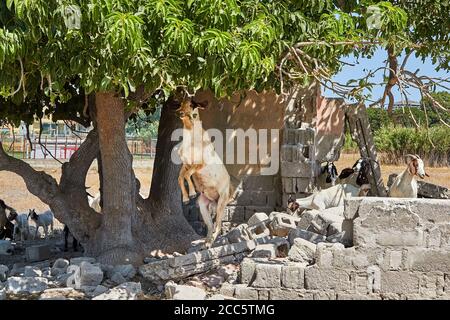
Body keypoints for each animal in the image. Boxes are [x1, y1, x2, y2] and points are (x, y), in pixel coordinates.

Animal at [177, 100, 239, 248]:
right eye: (181, 103)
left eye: (192, 105)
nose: (180, 113)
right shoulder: (185, 164)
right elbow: (180, 178)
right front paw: (186, 199)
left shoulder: (199, 164)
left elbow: (187, 175)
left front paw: (192, 193)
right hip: (203, 204)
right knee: (210, 225)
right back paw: (205, 243)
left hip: (222, 202)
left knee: (218, 225)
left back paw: (210, 244)